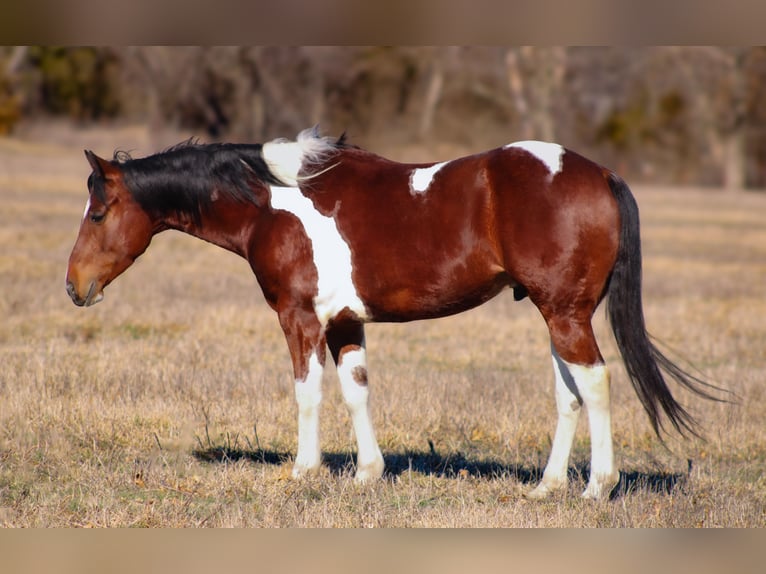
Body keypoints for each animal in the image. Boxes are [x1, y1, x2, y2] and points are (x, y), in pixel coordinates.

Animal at [64, 128, 720, 502]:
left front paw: (303, 472)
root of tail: (599, 172)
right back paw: (548, 486)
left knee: (596, 383)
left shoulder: (300, 318)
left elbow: (308, 393)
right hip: (557, 315)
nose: (74, 286)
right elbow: (356, 392)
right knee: (569, 393)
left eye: (97, 213)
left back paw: (596, 488)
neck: (272, 201)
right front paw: (367, 473)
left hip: (566, 314)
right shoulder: (345, 322)